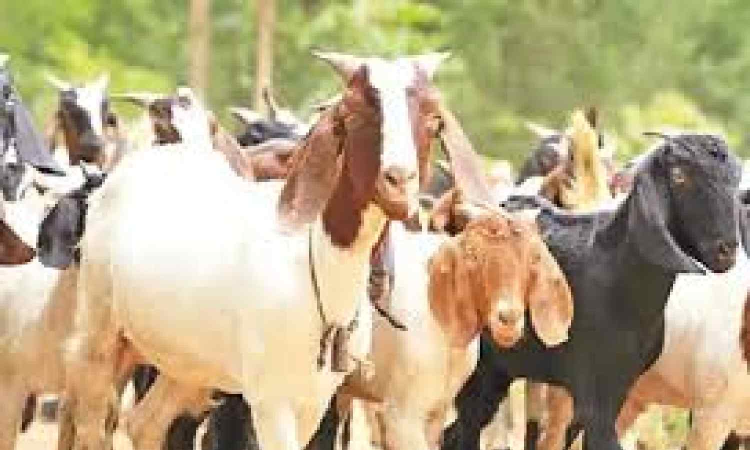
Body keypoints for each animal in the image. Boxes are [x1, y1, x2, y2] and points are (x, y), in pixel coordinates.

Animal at [443, 133, 744, 450]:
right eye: (679, 176)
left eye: (735, 179)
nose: (726, 251)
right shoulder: (594, 392)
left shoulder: (618, 387)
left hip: (499, 369)